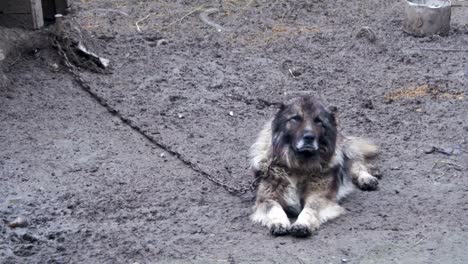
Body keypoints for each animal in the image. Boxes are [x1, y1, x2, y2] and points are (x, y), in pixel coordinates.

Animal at [250, 95, 378, 237]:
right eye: (295, 118)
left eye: (318, 121)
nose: (309, 137)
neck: (298, 166)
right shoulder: (267, 197)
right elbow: (274, 208)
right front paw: (279, 223)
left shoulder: (318, 196)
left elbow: (310, 209)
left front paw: (302, 224)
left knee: (357, 165)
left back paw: (367, 178)